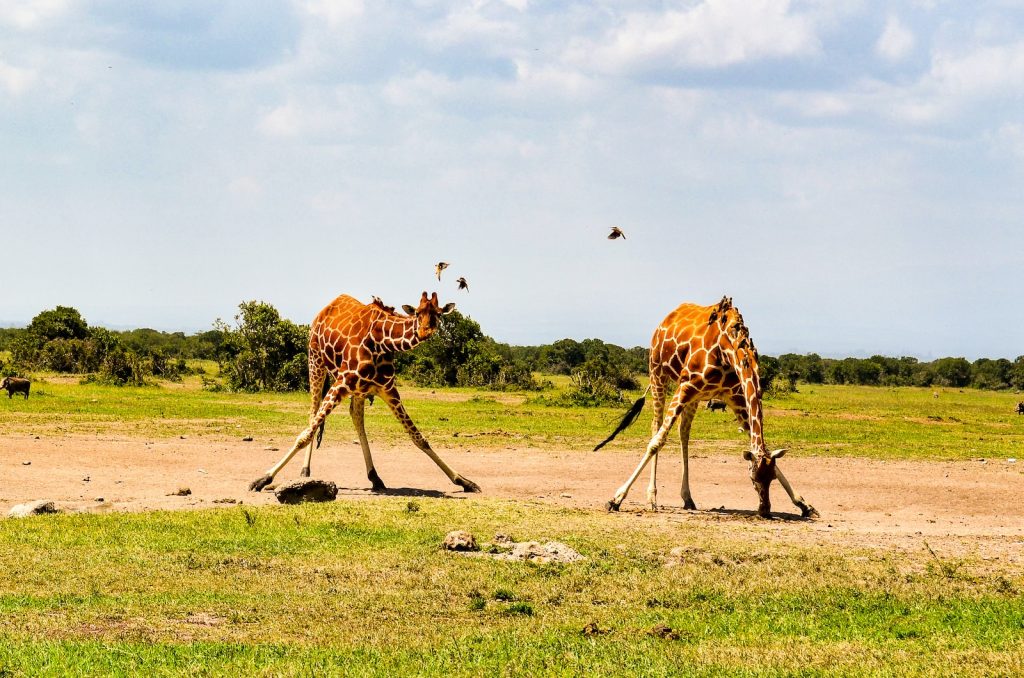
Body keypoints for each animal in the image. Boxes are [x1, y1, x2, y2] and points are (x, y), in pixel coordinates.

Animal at [251, 290, 483, 493]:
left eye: (438, 313)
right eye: (417, 312)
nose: (425, 331)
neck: (382, 342)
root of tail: (324, 310)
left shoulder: (388, 390)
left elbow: (418, 437)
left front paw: (464, 481)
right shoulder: (341, 382)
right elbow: (305, 435)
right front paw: (263, 478)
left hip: (358, 390)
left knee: (356, 417)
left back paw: (375, 477)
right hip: (315, 360)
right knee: (313, 414)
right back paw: (305, 471)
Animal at [598, 297, 815, 520]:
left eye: (771, 478)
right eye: (753, 477)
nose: (765, 510)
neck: (729, 349)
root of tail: (664, 321)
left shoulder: (735, 398)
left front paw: (803, 503)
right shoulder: (686, 386)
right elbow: (657, 442)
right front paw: (616, 499)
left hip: (695, 395)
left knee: (683, 432)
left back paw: (687, 498)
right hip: (658, 374)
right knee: (656, 426)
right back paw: (652, 498)